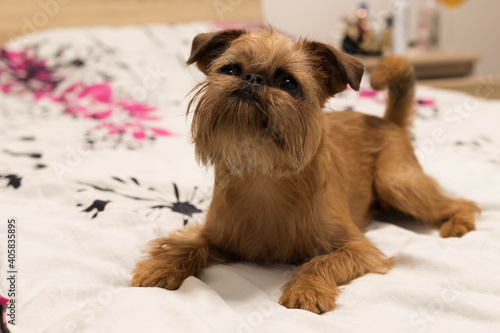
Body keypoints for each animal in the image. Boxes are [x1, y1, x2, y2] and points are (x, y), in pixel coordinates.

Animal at [131, 27, 478, 312]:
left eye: (289, 83)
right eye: (229, 70)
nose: (252, 78)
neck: (264, 175)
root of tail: (386, 121)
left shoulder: (358, 248)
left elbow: (320, 262)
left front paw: (307, 289)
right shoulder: (215, 235)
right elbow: (187, 244)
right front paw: (161, 266)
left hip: (396, 182)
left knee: (462, 202)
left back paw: (458, 222)